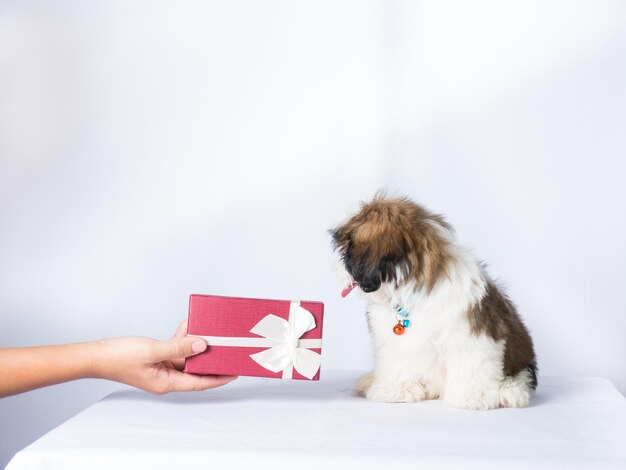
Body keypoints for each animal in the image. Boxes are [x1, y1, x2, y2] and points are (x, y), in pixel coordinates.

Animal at [332, 194, 536, 408]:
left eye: (347, 252)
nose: (337, 266)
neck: (412, 293)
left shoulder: (471, 332)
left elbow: (471, 363)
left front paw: (472, 396)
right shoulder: (396, 344)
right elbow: (398, 362)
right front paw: (397, 390)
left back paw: (510, 390)